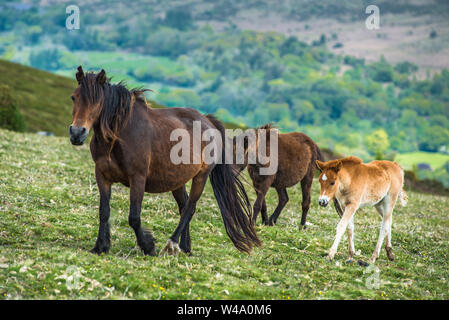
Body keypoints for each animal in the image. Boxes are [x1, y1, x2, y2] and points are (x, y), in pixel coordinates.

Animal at [68, 66, 260, 256]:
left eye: (98, 101)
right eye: (74, 97)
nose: (77, 133)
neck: (118, 136)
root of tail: (208, 121)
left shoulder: (138, 178)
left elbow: (134, 217)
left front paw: (148, 246)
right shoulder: (102, 176)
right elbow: (104, 212)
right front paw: (100, 246)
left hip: (201, 176)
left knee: (190, 208)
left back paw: (171, 244)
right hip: (177, 181)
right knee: (184, 206)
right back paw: (185, 247)